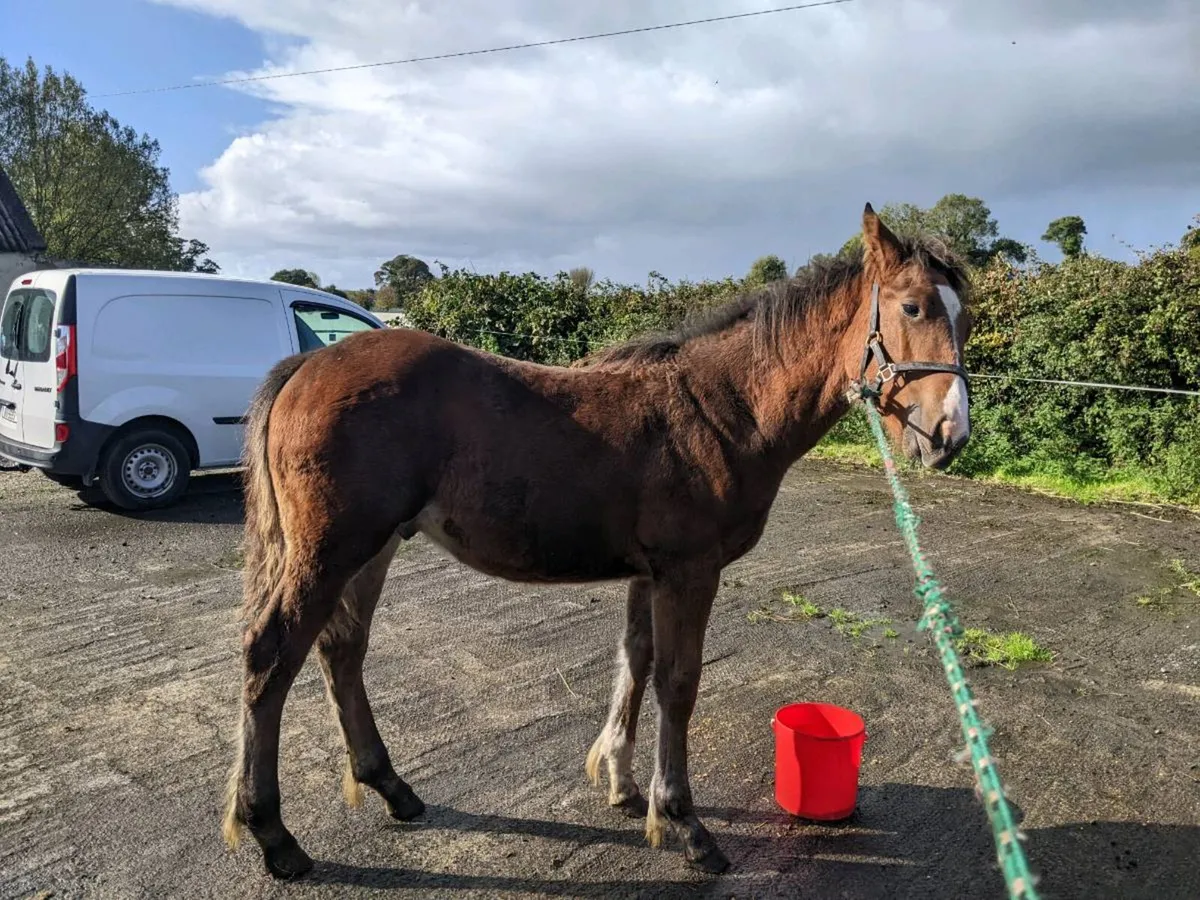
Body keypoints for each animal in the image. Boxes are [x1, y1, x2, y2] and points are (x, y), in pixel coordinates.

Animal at [221, 204, 973, 880]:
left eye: (963, 317)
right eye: (911, 308)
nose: (949, 436)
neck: (721, 409)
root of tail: (305, 367)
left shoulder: (648, 572)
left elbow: (634, 662)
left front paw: (622, 784)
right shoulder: (689, 571)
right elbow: (677, 682)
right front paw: (685, 824)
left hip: (373, 548)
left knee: (341, 650)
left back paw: (392, 789)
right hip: (330, 550)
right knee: (271, 655)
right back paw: (274, 835)